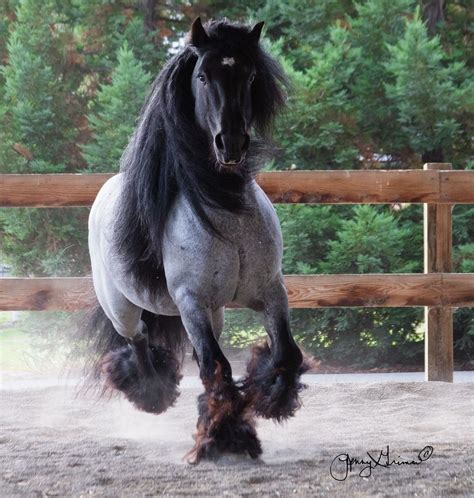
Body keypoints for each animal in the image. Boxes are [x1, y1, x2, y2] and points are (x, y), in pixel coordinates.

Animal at [87, 18, 312, 462]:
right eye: (203, 76)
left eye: (251, 75)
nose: (231, 143)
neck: (224, 209)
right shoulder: (191, 300)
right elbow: (217, 370)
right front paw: (225, 438)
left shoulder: (270, 290)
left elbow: (285, 354)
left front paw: (270, 399)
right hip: (124, 309)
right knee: (139, 340)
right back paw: (153, 393)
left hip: (216, 312)